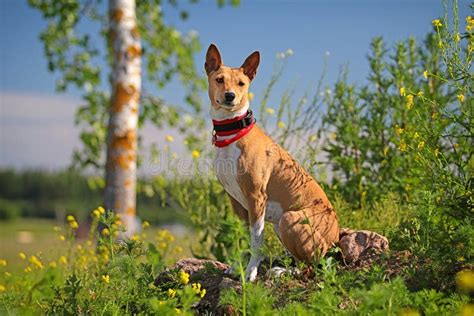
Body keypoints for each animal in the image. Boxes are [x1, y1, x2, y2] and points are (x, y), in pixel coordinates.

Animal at [206, 44, 338, 282]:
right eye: (219, 80)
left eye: (241, 84)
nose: (230, 96)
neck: (233, 133)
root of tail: (335, 236)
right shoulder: (236, 201)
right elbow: (242, 237)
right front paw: (237, 267)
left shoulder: (256, 198)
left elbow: (256, 241)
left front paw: (250, 271)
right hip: (280, 226)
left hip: (289, 219)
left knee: (311, 267)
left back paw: (282, 271)